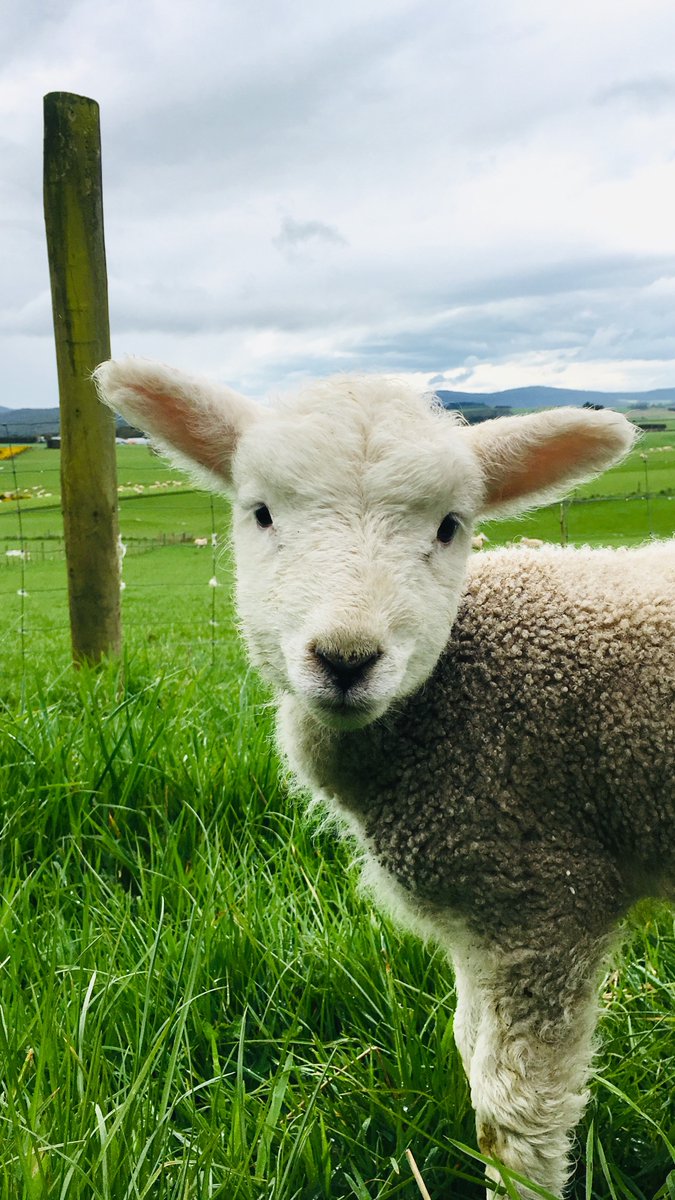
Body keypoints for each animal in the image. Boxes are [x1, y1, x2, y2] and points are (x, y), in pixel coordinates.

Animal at [94, 359, 675, 1199]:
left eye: (449, 526)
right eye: (260, 513)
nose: (346, 659)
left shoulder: (544, 899)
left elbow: (514, 1119)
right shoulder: (482, 921)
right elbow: (467, 1047)